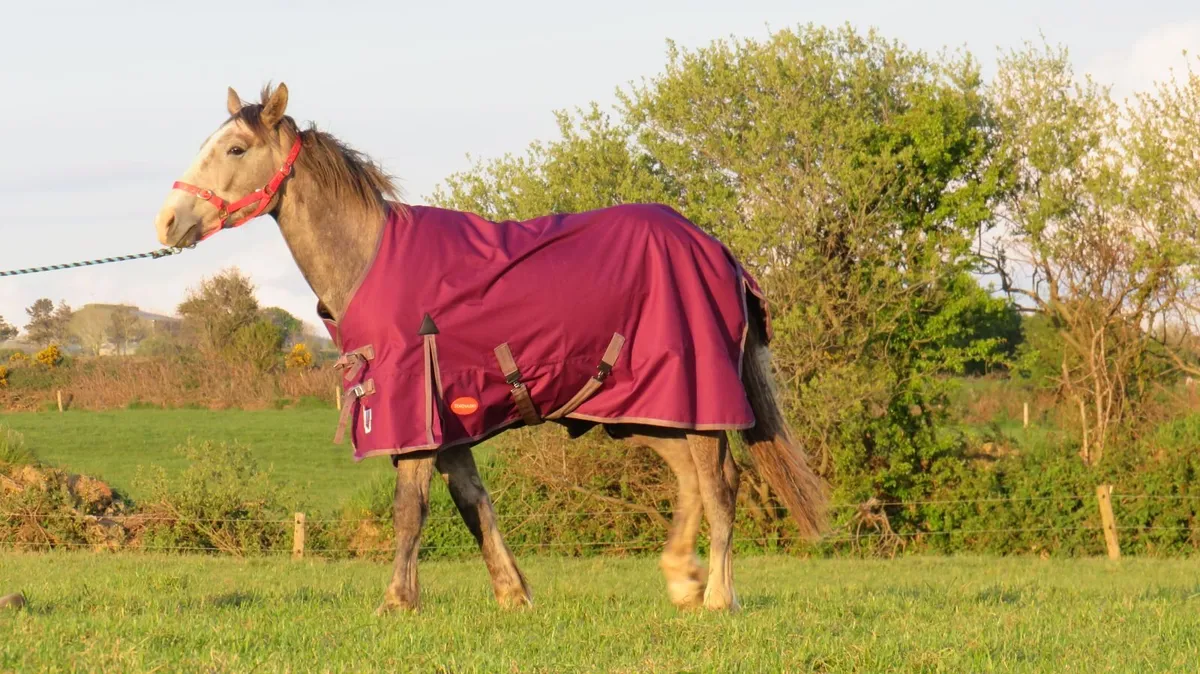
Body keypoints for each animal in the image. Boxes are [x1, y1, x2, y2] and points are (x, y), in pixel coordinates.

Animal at [152, 83, 826, 614]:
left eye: (236, 149)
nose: (166, 222)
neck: (370, 260)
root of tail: (721, 252)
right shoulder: (448, 422)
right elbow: (474, 502)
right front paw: (513, 593)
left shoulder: (413, 418)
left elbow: (410, 509)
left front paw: (396, 602)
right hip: (645, 407)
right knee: (690, 480)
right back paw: (682, 580)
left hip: (694, 399)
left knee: (720, 484)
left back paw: (716, 597)